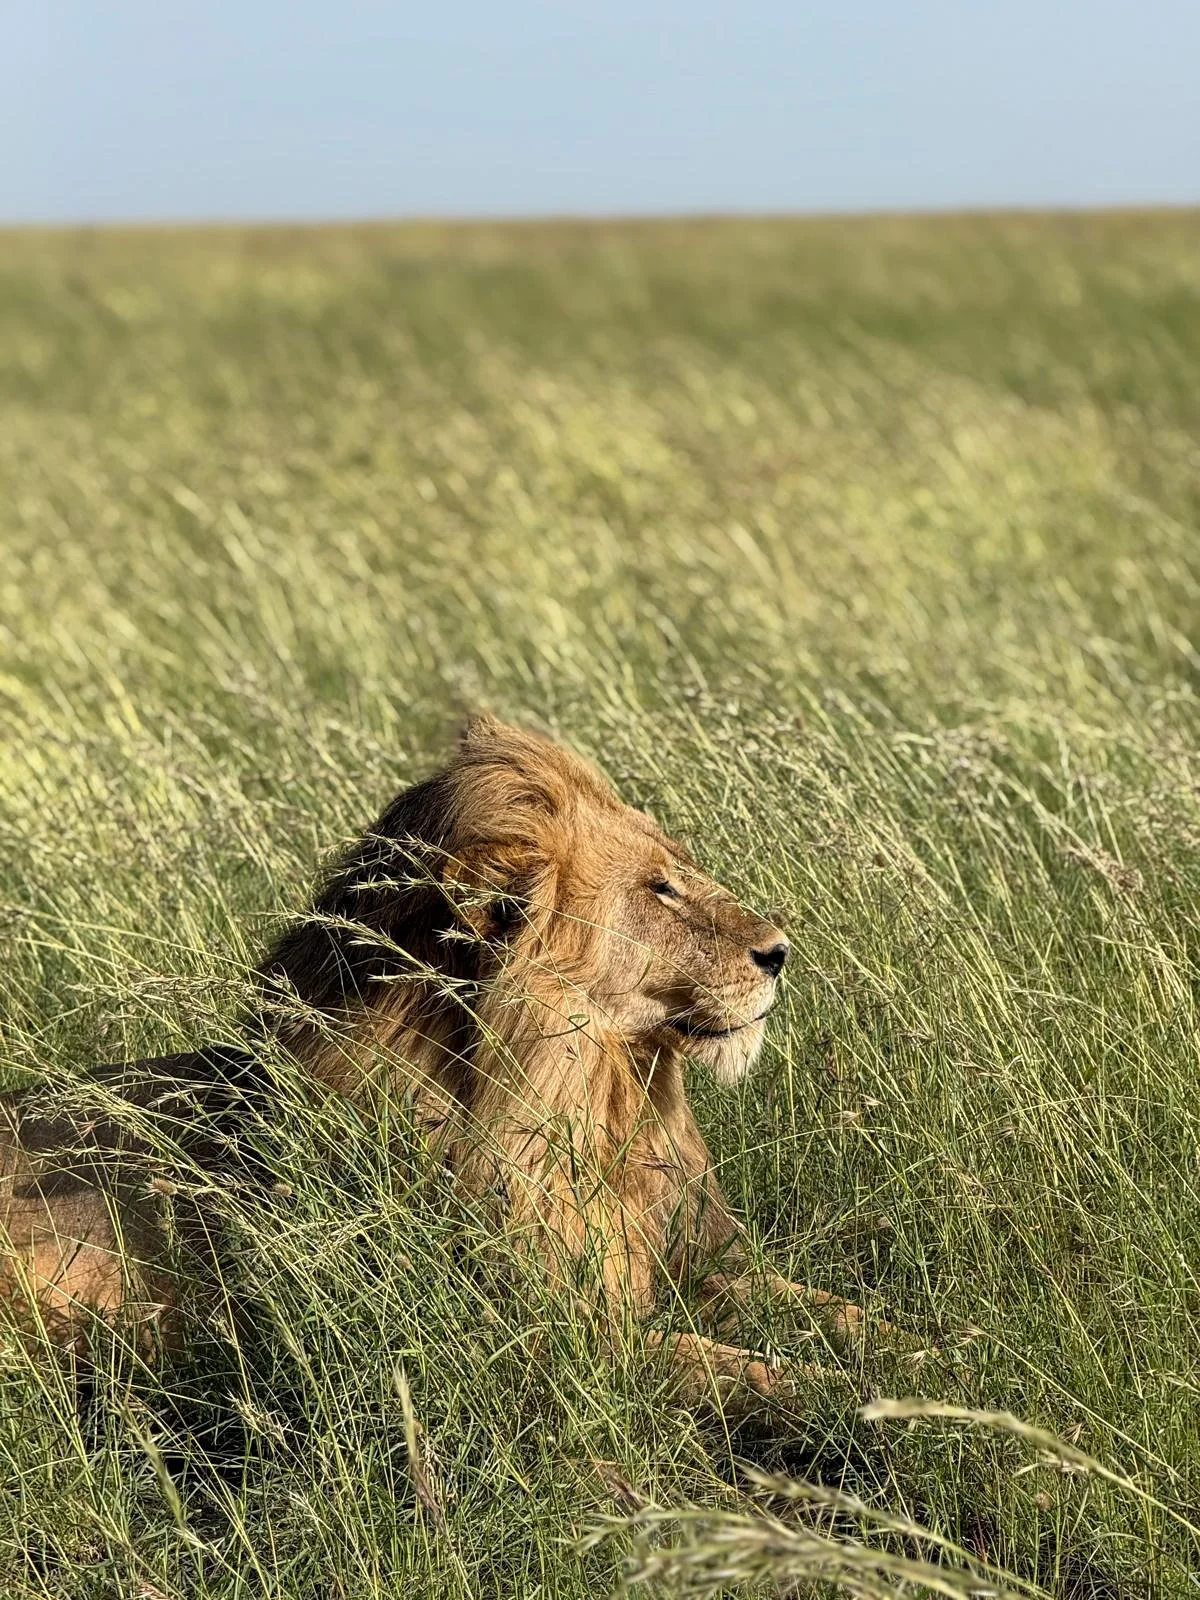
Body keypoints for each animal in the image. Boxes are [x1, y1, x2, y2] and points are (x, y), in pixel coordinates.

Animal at [2, 717, 870, 1402]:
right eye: (659, 889)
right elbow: (764, 1373)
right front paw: (872, 1402)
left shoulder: (692, 1260)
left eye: (679, 867)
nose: (780, 952)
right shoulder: (560, 1342)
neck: (597, 1105)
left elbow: (844, 1313)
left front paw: (904, 1351)